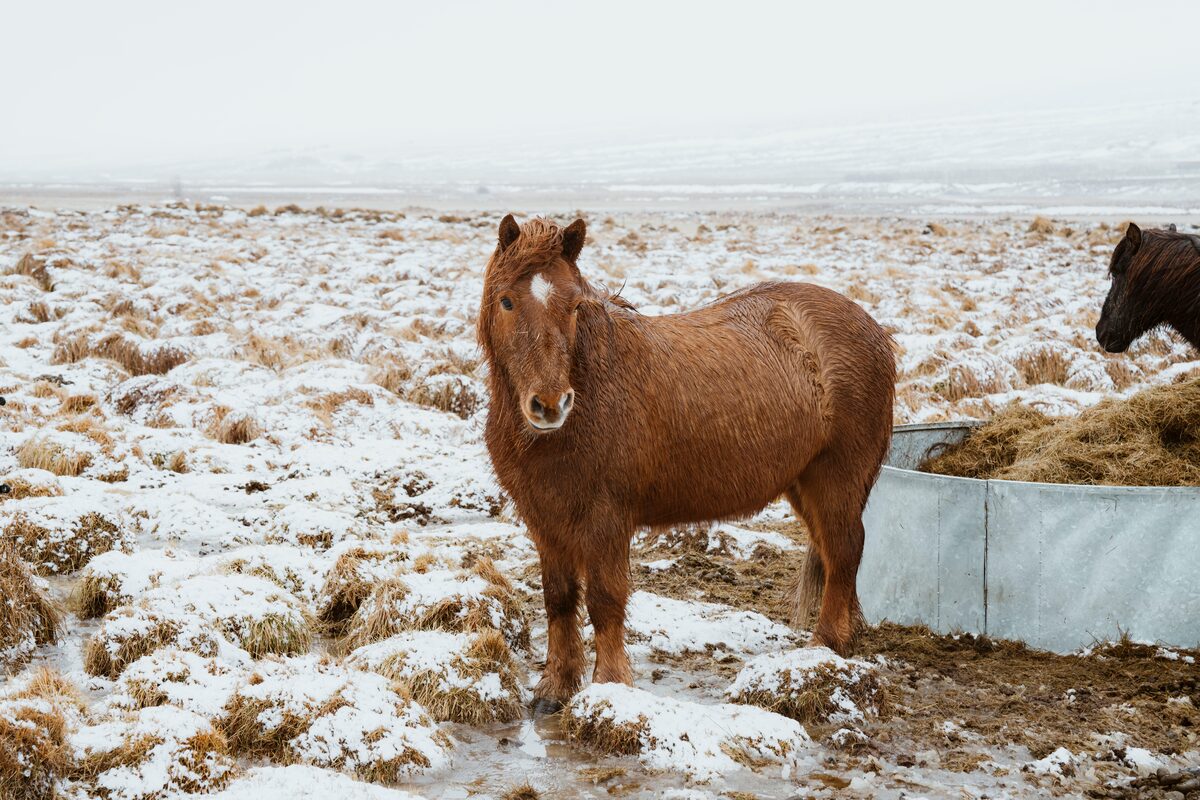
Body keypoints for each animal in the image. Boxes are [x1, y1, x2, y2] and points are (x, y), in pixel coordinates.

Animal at [477, 215, 895, 712]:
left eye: (575, 306)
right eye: (507, 301)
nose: (549, 404)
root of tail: (873, 328)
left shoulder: (606, 519)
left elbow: (604, 599)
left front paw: (610, 687)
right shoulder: (545, 519)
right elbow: (559, 599)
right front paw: (554, 688)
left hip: (838, 478)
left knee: (846, 549)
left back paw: (824, 646)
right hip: (805, 483)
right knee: (834, 555)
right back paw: (845, 638)